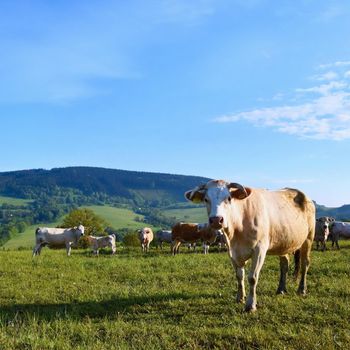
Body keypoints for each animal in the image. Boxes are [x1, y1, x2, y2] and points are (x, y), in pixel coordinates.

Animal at [185, 180, 316, 312]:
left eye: (229, 198)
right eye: (206, 199)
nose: (217, 220)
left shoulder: (259, 250)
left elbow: (252, 277)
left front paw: (250, 305)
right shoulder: (232, 252)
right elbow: (239, 276)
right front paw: (240, 297)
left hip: (308, 238)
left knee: (305, 264)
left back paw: (302, 289)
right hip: (283, 242)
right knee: (284, 265)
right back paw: (281, 289)